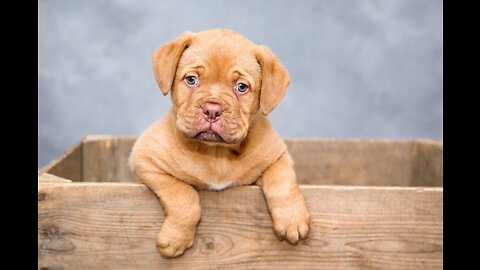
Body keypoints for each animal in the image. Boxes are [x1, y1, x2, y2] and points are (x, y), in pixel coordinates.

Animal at [130, 28, 312, 258]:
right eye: (191, 80)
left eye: (241, 87)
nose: (212, 110)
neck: (216, 153)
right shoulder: (145, 158)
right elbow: (183, 195)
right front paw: (175, 239)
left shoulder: (278, 156)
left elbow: (282, 181)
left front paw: (291, 220)